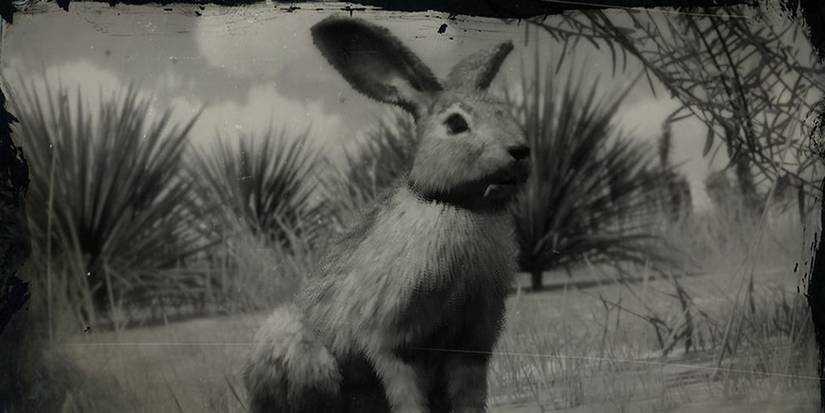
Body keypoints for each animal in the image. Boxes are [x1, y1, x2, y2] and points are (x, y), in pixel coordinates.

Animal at [243, 15, 530, 413]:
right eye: (456, 124)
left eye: (503, 111)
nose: (521, 150)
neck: (458, 205)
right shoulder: (389, 340)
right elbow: (405, 392)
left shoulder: (470, 344)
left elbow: (470, 397)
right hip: (300, 354)